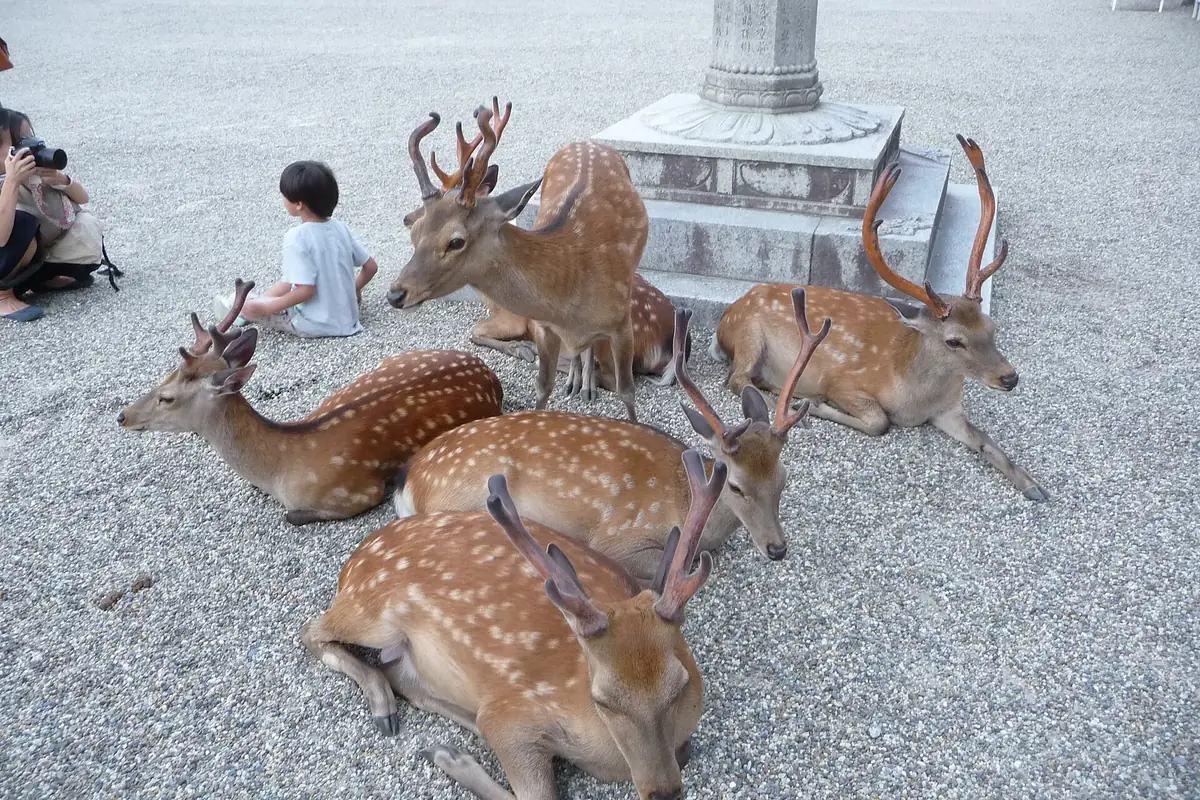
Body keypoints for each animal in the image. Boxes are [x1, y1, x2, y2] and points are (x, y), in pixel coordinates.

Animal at [118, 279, 505, 524]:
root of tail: (486, 371)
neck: (279, 468)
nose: (123, 416)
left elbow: (291, 515)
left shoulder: (357, 493)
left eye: (167, 398)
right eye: (161, 379)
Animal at [300, 449, 725, 800]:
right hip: (371, 610)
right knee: (313, 631)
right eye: (603, 699)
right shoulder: (512, 713)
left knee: (399, 673)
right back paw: (388, 711)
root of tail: (355, 559)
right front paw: (453, 759)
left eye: (680, 684)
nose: (664, 793)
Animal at [392, 291, 830, 581]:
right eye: (735, 486)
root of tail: (409, 480)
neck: (685, 502)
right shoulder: (618, 538)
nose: (777, 548)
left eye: (784, 479)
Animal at [400, 99, 687, 395]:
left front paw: (521, 348)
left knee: (608, 374)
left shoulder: (512, 318)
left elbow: (475, 331)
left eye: (455, 241)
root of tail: (673, 341)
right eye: (418, 230)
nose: (407, 218)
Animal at [713, 134, 1048, 501]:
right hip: (749, 334)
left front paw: (1034, 486)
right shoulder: (843, 380)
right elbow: (879, 422)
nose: (1010, 377)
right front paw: (817, 407)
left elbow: (985, 440)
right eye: (954, 340)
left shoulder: (950, 409)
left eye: (992, 327)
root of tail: (729, 312)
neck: (914, 399)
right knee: (737, 378)